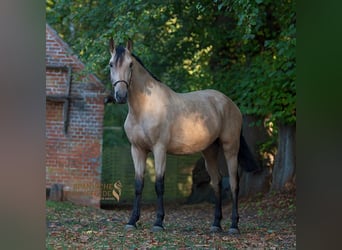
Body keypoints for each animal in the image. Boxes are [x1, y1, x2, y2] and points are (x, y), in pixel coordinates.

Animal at [108, 39, 258, 234]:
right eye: (111, 64)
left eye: (130, 64)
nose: (120, 95)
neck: (144, 108)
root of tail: (231, 104)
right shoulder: (137, 150)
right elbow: (138, 185)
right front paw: (132, 221)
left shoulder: (159, 149)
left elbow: (159, 184)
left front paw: (158, 222)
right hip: (210, 151)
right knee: (217, 182)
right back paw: (216, 225)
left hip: (230, 148)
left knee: (233, 183)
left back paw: (233, 226)